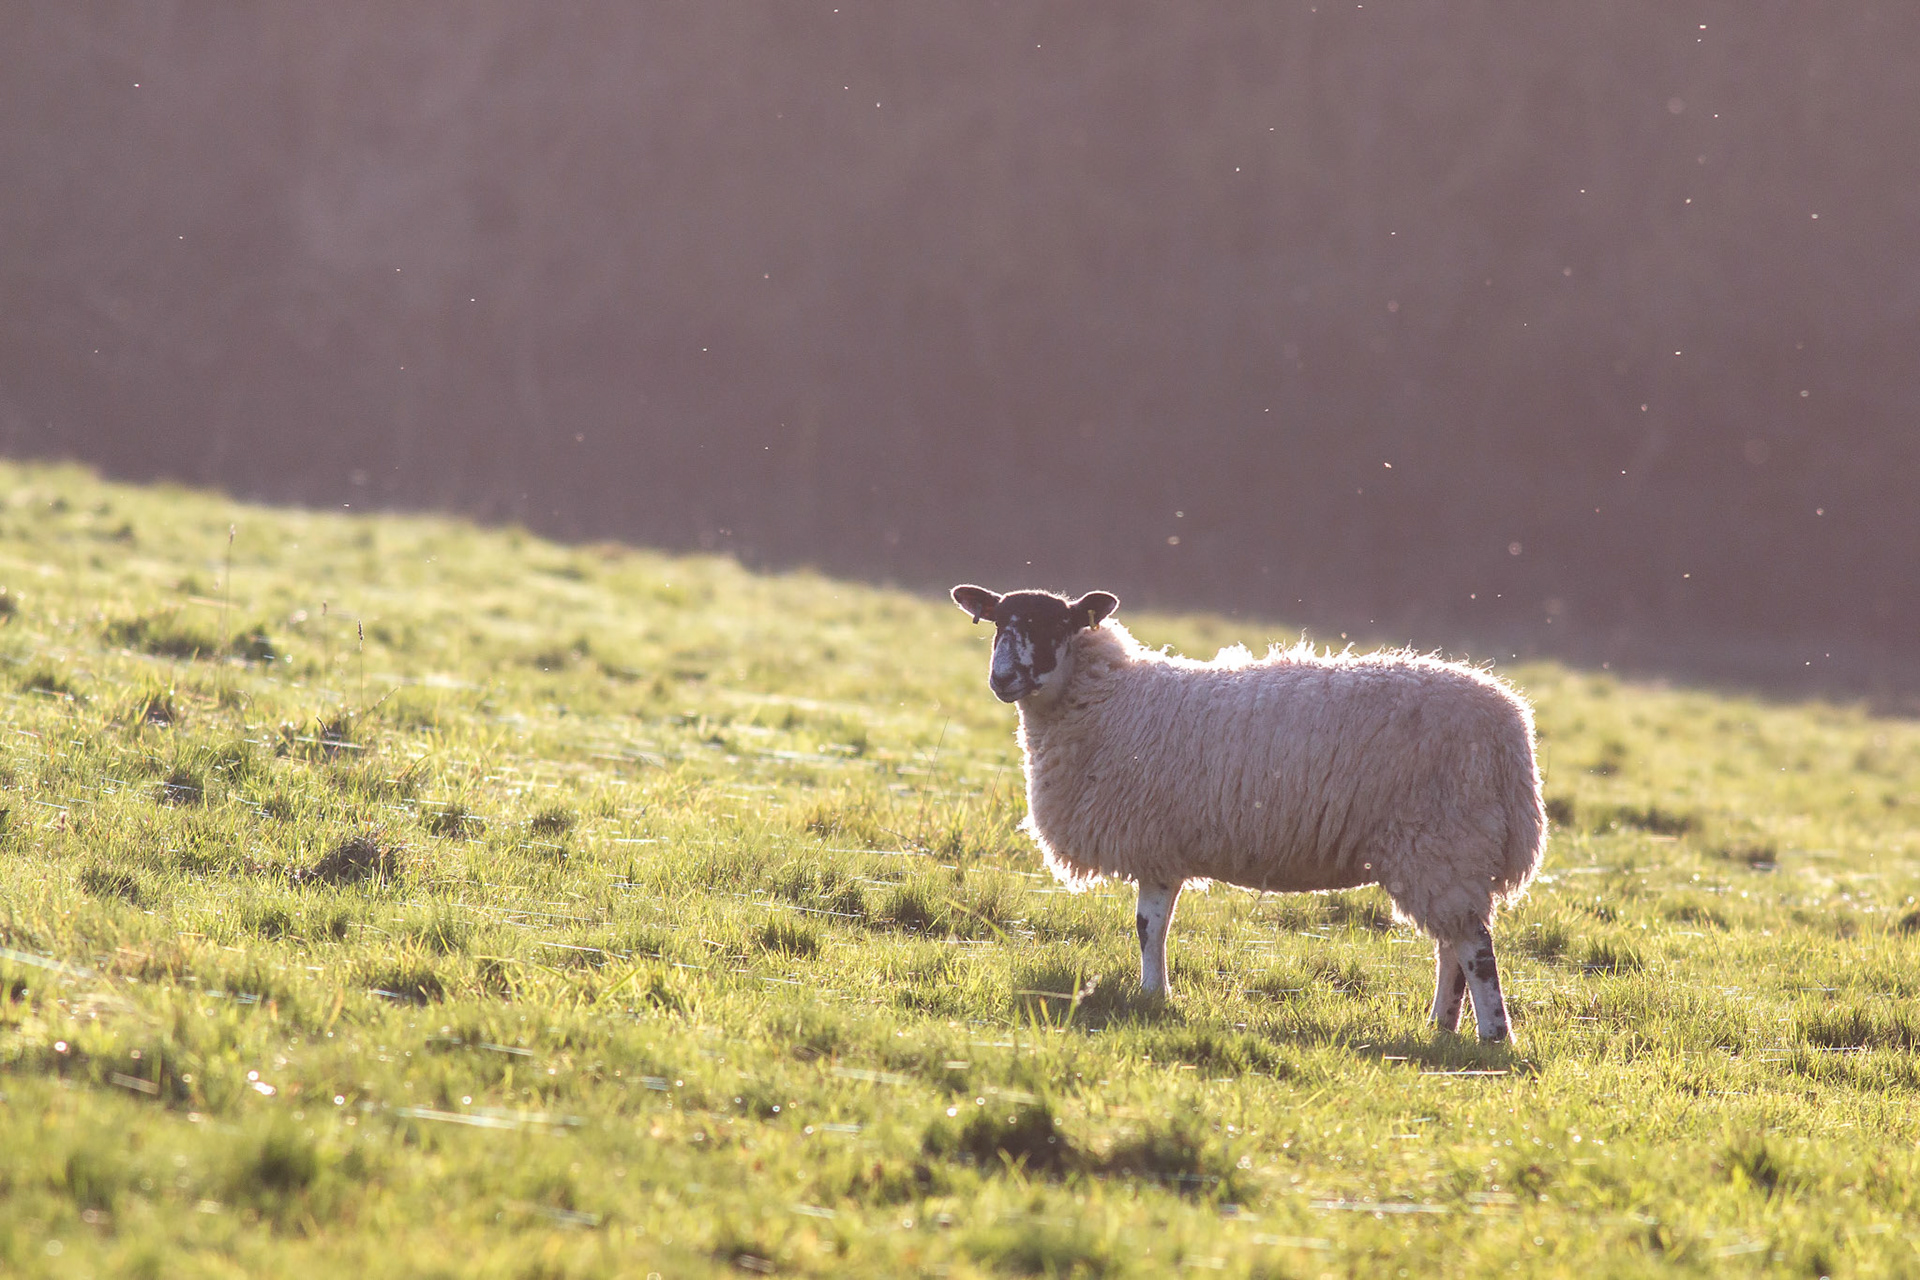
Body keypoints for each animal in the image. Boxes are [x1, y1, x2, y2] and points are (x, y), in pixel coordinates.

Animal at [951, 584, 1545, 1042]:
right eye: (997, 623)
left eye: (1054, 626)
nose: (1002, 679)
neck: (1107, 699)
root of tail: (1510, 727)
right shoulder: (1159, 846)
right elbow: (1152, 926)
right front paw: (1154, 995)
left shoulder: (1152, 837)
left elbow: (1147, 927)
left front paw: (1155, 994)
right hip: (1446, 852)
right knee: (1452, 944)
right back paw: (1440, 1026)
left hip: (1443, 837)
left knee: (1474, 947)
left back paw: (1493, 1036)